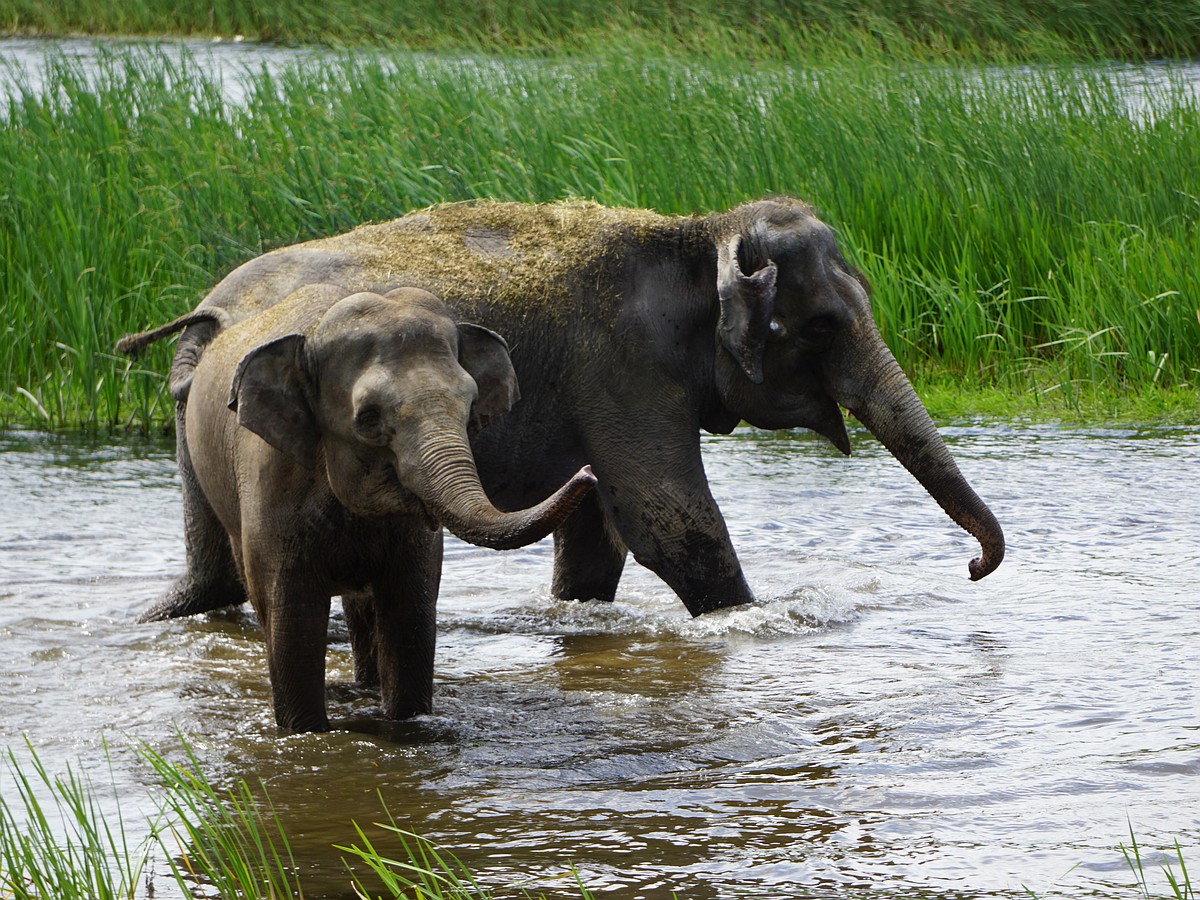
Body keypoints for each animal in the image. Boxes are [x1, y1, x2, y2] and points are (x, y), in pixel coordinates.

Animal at [117, 286, 595, 734]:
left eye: (470, 405)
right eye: (368, 418)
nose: (588, 473)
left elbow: (410, 612)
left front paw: (407, 723)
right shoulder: (270, 483)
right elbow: (292, 619)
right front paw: (304, 732)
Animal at [131, 195, 1003, 628]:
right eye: (821, 326)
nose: (973, 567)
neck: (692, 235)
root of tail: (207, 310)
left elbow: (597, 540)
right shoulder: (623, 368)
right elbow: (668, 519)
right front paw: (745, 620)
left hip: (193, 420)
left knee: (213, 576)